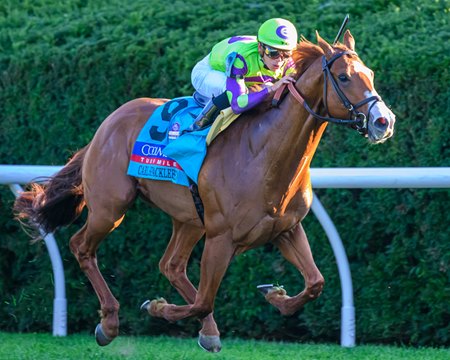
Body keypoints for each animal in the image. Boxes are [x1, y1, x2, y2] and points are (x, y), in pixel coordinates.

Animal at [13, 31, 394, 352]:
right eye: (344, 77)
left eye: (371, 74)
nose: (383, 122)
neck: (263, 153)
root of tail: (104, 126)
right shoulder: (222, 237)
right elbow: (203, 300)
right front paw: (158, 308)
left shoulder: (285, 229)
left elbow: (315, 282)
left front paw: (274, 295)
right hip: (111, 208)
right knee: (82, 247)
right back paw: (109, 323)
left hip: (189, 219)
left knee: (172, 265)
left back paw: (207, 331)